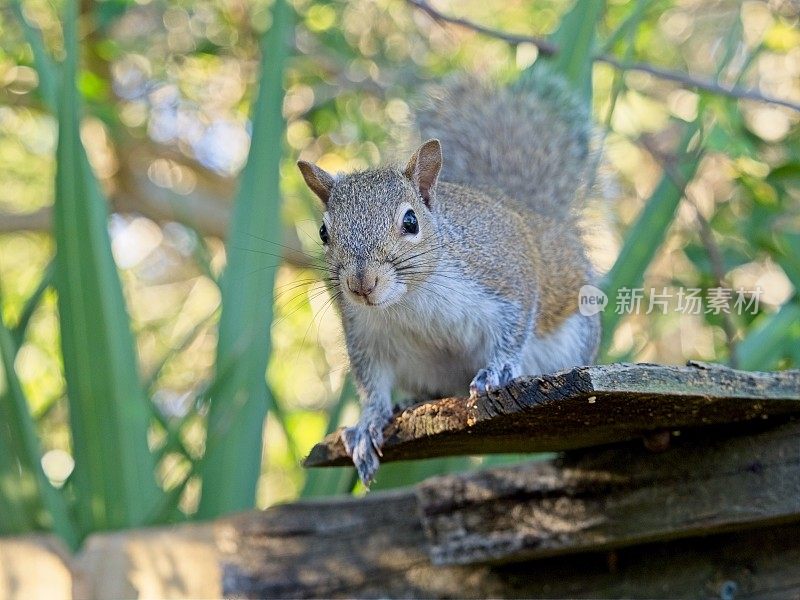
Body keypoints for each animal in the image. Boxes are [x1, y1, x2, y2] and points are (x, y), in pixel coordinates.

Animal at [298, 68, 600, 486]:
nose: (361, 286)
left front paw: (498, 368)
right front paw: (368, 423)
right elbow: (372, 381)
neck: (411, 296)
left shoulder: (505, 273)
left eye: (411, 221)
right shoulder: (364, 332)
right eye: (324, 232)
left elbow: (515, 325)